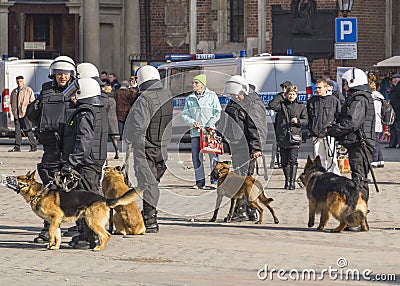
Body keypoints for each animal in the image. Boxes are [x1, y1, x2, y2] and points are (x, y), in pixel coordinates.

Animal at [13, 170, 141, 250]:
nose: (9, 177)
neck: (39, 193)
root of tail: (104, 199)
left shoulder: (55, 218)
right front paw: (55, 247)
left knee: (106, 235)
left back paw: (98, 248)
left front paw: (50, 244)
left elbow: (51, 233)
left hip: (91, 221)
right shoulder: (56, 221)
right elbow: (57, 235)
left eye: (18, 178)